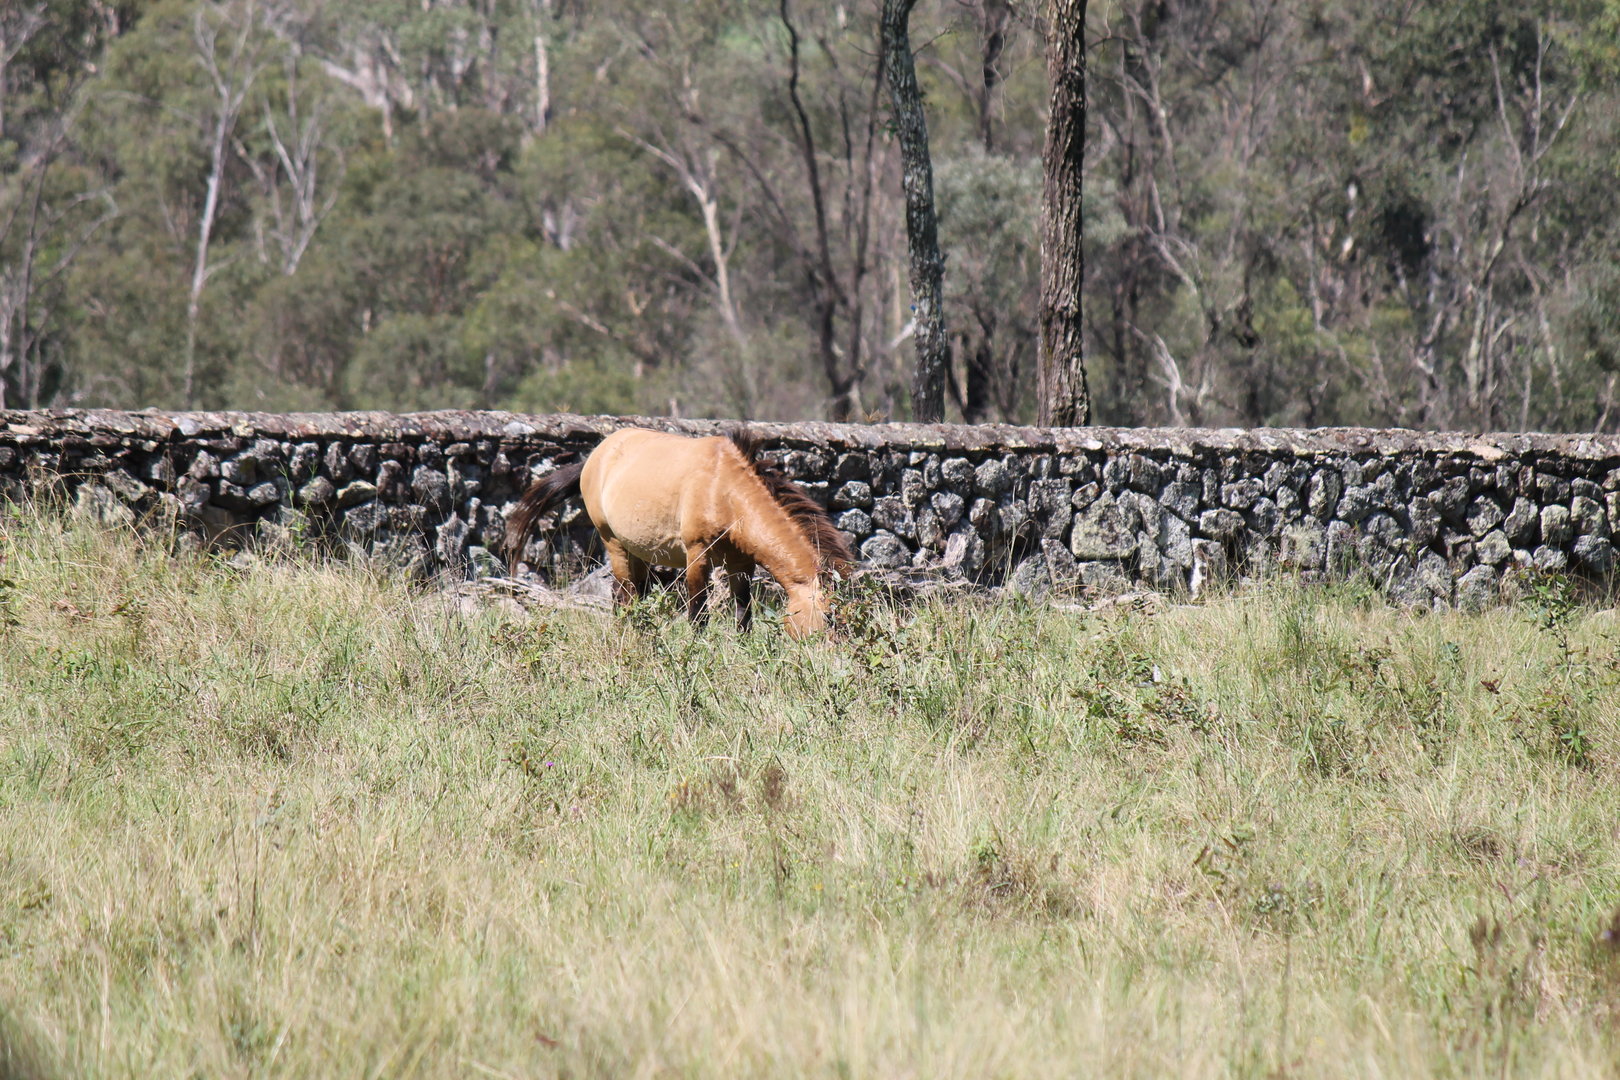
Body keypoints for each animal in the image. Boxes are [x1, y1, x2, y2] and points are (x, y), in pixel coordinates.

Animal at [504, 428, 853, 638]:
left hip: (638, 551)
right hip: (613, 543)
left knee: (628, 595)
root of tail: (594, 457)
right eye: (830, 616)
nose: (832, 660)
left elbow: (743, 616)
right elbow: (698, 615)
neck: (724, 490)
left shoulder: (741, 564)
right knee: (625, 598)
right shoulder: (697, 555)